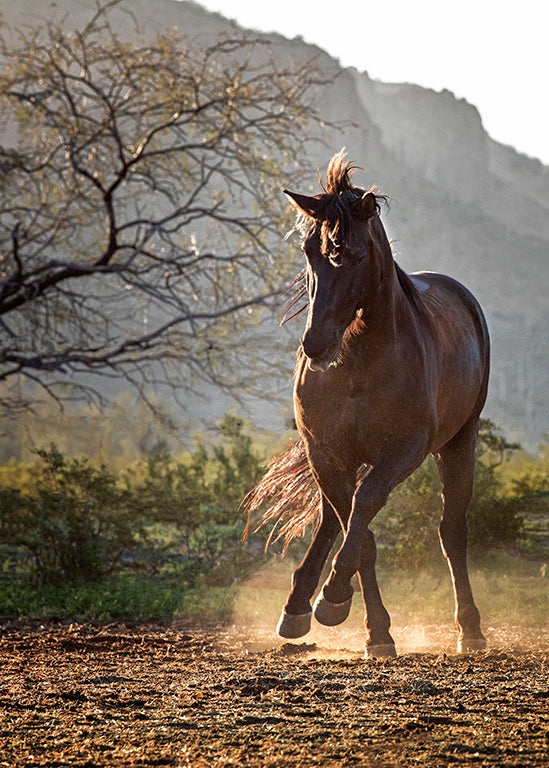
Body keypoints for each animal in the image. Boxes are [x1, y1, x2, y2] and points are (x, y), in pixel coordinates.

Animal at [243, 153, 488, 656]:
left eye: (355, 255)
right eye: (309, 251)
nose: (315, 345)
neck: (359, 360)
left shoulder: (405, 450)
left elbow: (364, 510)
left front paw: (338, 599)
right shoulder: (325, 451)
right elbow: (358, 531)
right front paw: (363, 622)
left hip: (459, 441)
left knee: (452, 531)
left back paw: (470, 630)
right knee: (332, 519)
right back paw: (296, 606)